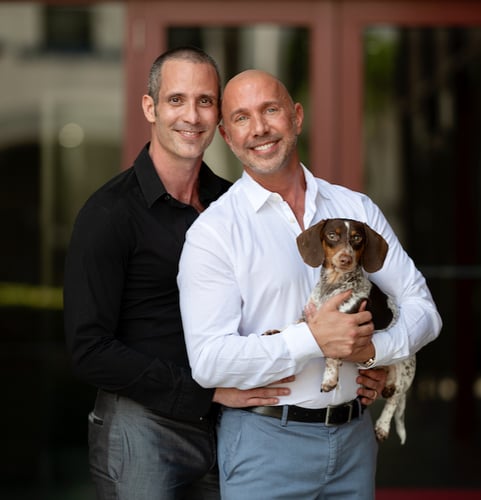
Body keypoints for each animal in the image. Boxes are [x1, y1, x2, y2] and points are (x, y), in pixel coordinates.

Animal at [296, 218, 416, 443]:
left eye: (357, 238)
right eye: (332, 235)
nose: (346, 259)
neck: (333, 285)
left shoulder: (342, 328)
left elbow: (331, 358)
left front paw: (329, 379)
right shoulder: (311, 317)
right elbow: (295, 326)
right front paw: (274, 332)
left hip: (406, 371)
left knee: (395, 399)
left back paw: (382, 426)